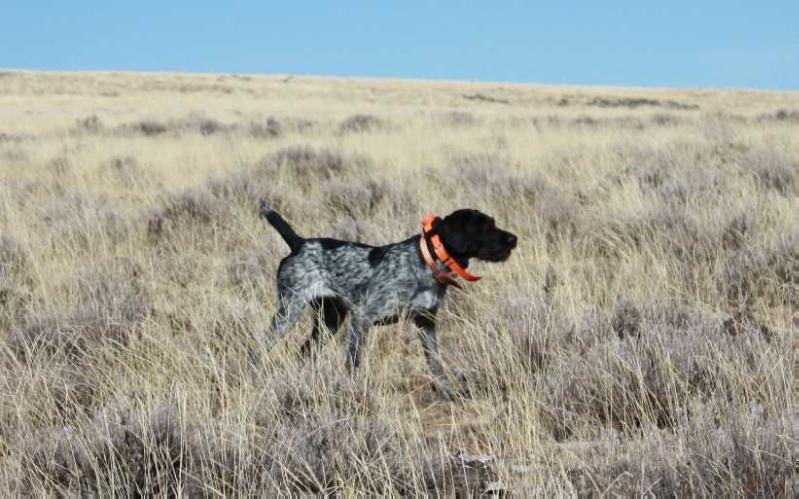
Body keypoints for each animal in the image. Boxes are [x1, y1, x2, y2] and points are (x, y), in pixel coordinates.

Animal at [255, 201, 520, 396]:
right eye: (484, 227)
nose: (514, 239)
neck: (426, 262)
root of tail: (299, 243)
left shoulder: (426, 321)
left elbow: (435, 363)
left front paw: (447, 392)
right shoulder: (361, 317)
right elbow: (353, 363)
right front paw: (351, 394)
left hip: (329, 321)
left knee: (303, 353)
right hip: (288, 312)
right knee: (257, 351)